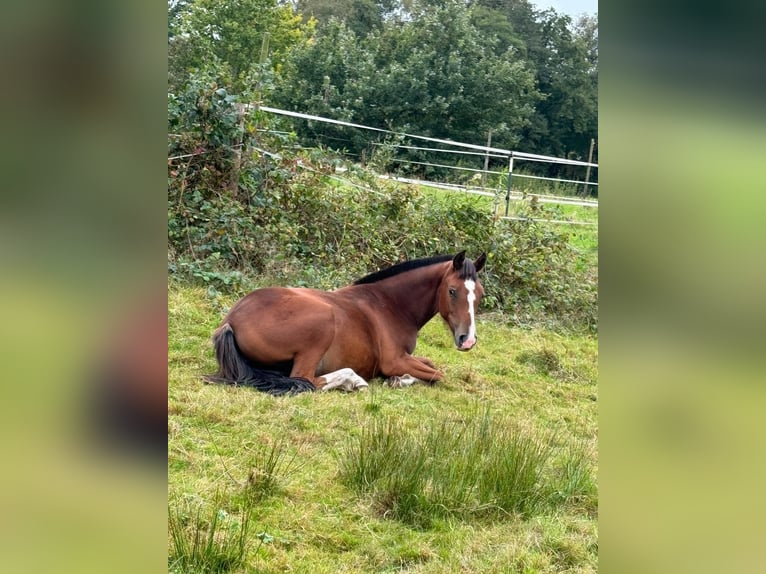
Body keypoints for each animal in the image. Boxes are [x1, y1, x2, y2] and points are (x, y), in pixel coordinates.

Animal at [206, 252, 486, 396]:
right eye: (452, 291)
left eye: (480, 294)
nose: (468, 340)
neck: (391, 304)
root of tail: (230, 322)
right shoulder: (394, 360)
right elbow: (438, 374)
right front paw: (398, 380)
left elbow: (430, 365)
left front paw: (400, 379)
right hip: (323, 322)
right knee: (306, 380)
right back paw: (352, 380)